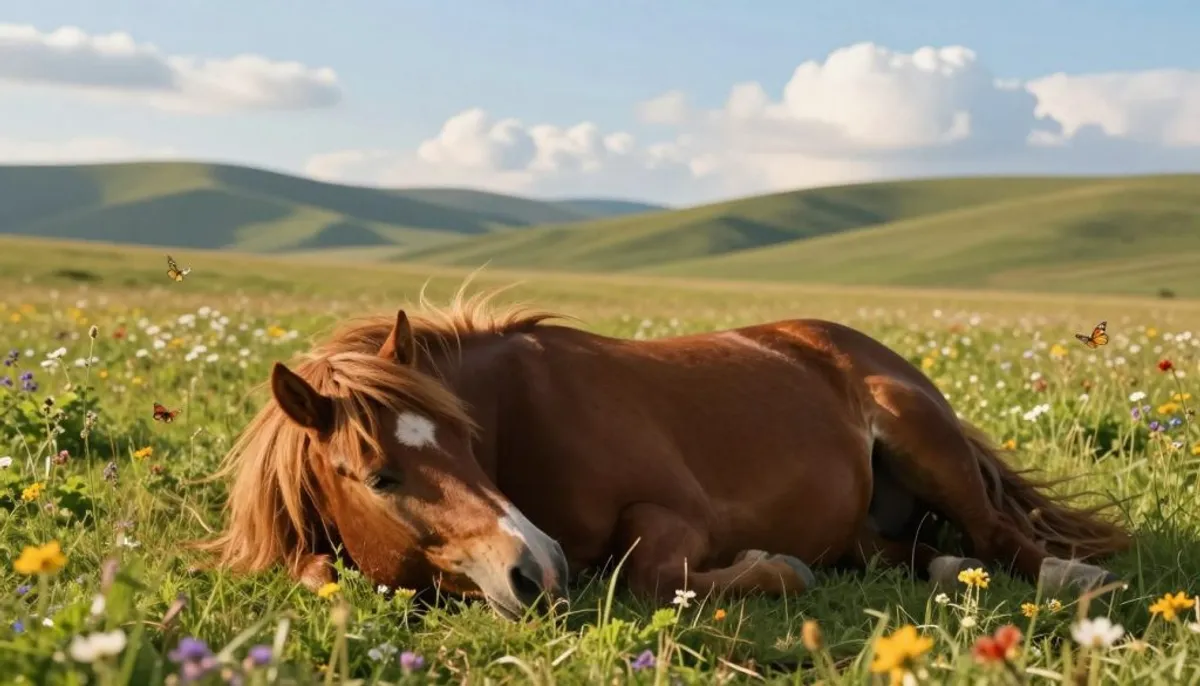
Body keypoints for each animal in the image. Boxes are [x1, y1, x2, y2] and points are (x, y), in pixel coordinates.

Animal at [200, 286, 1130, 619]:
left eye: (469, 443)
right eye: (379, 476)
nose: (536, 568)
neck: (523, 415)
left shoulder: (675, 515)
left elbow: (649, 573)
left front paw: (773, 568)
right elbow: (315, 575)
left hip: (921, 436)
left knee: (999, 533)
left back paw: (1071, 577)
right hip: (869, 524)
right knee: (915, 552)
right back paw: (945, 571)